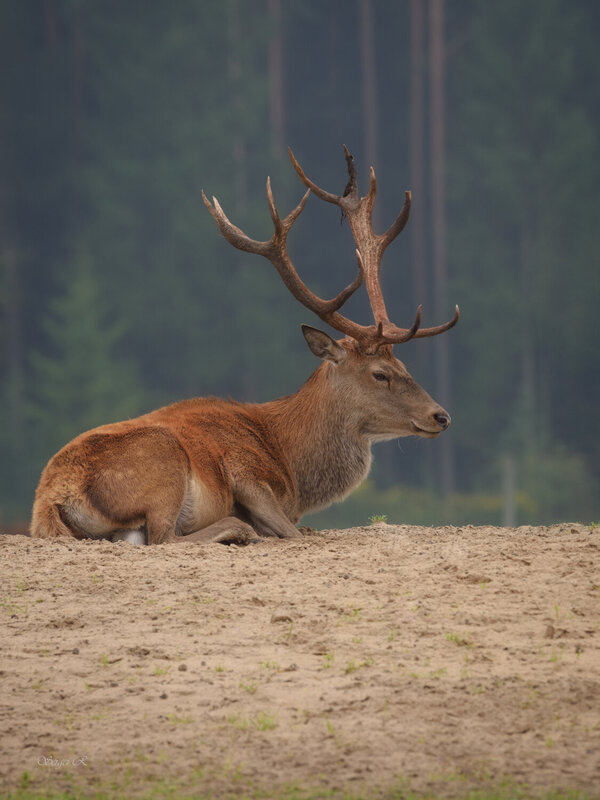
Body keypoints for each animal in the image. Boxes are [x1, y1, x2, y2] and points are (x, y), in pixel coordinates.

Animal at [30, 146, 459, 546]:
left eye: (403, 366)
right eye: (380, 374)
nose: (441, 416)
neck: (291, 464)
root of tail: (51, 500)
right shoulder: (245, 472)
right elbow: (292, 531)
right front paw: (257, 528)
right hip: (163, 460)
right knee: (164, 536)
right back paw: (241, 531)